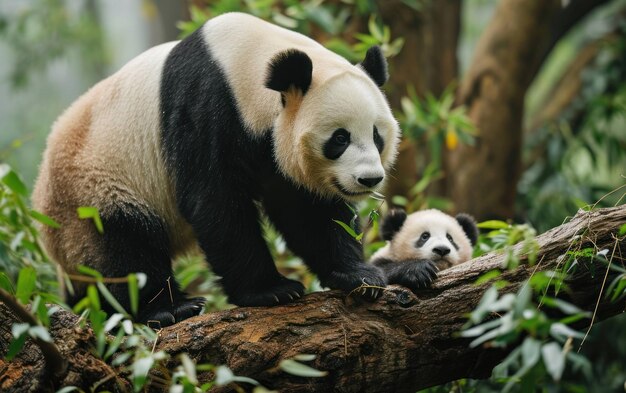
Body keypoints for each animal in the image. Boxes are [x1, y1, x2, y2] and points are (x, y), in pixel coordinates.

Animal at [31, 12, 398, 324]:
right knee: (123, 253)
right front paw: (271, 290)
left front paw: (358, 274)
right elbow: (215, 202)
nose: (369, 179)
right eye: (340, 138)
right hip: (94, 189)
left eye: (376, 135)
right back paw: (170, 308)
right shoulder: (206, 108)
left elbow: (307, 210)